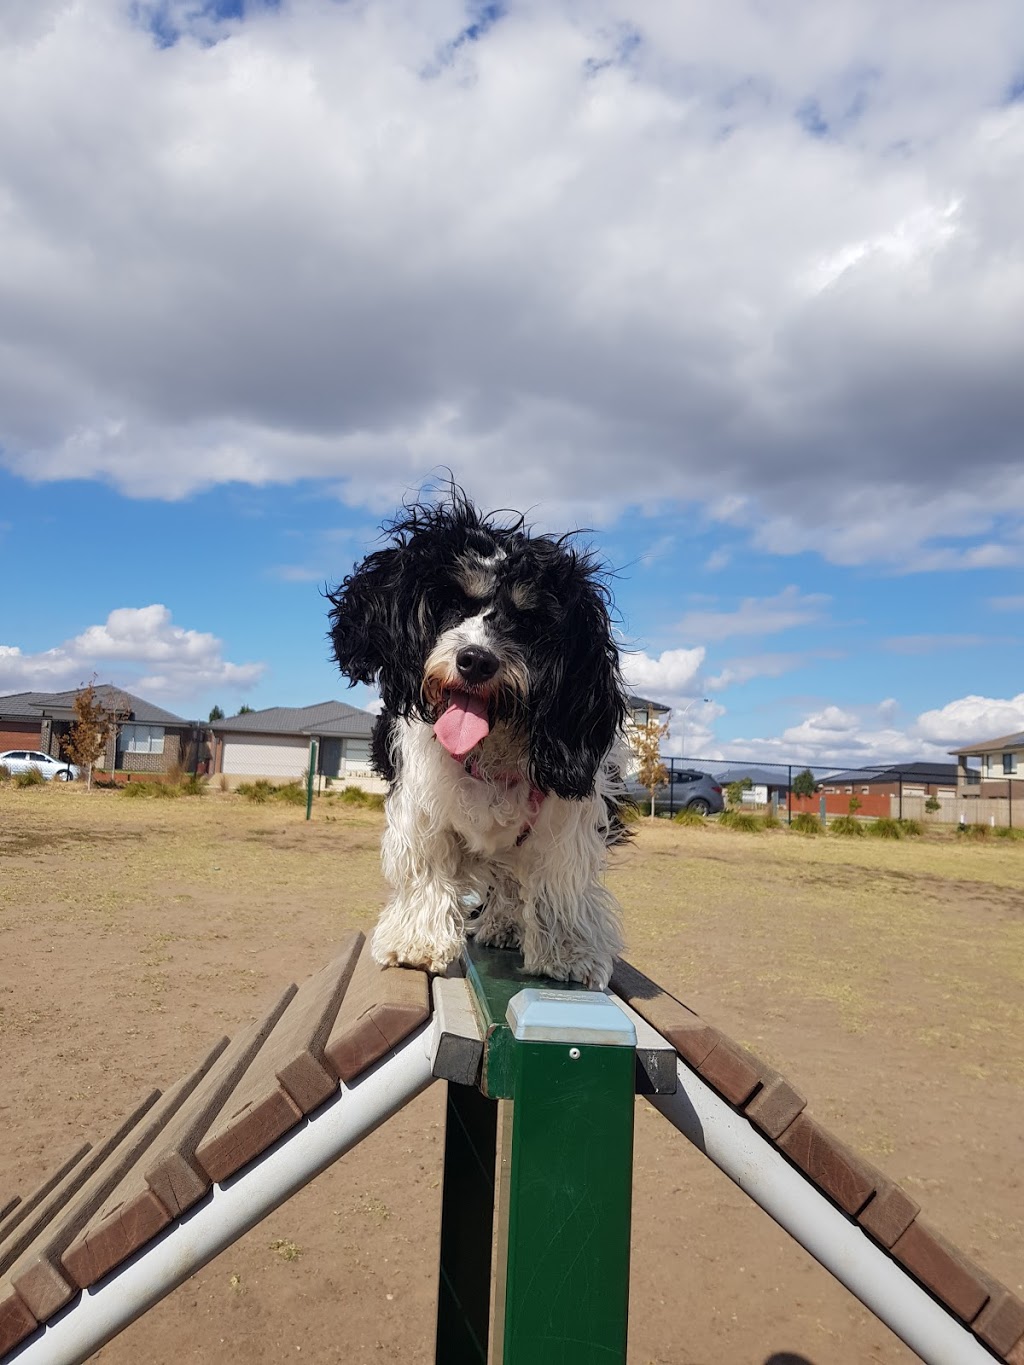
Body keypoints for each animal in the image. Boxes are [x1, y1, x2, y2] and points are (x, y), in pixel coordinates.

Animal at [333, 491, 630, 993]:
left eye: (529, 621)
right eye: (453, 602)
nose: (476, 660)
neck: (491, 750)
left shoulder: (568, 816)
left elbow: (558, 881)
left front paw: (568, 952)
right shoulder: (422, 800)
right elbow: (426, 865)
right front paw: (417, 941)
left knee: (513, 880)